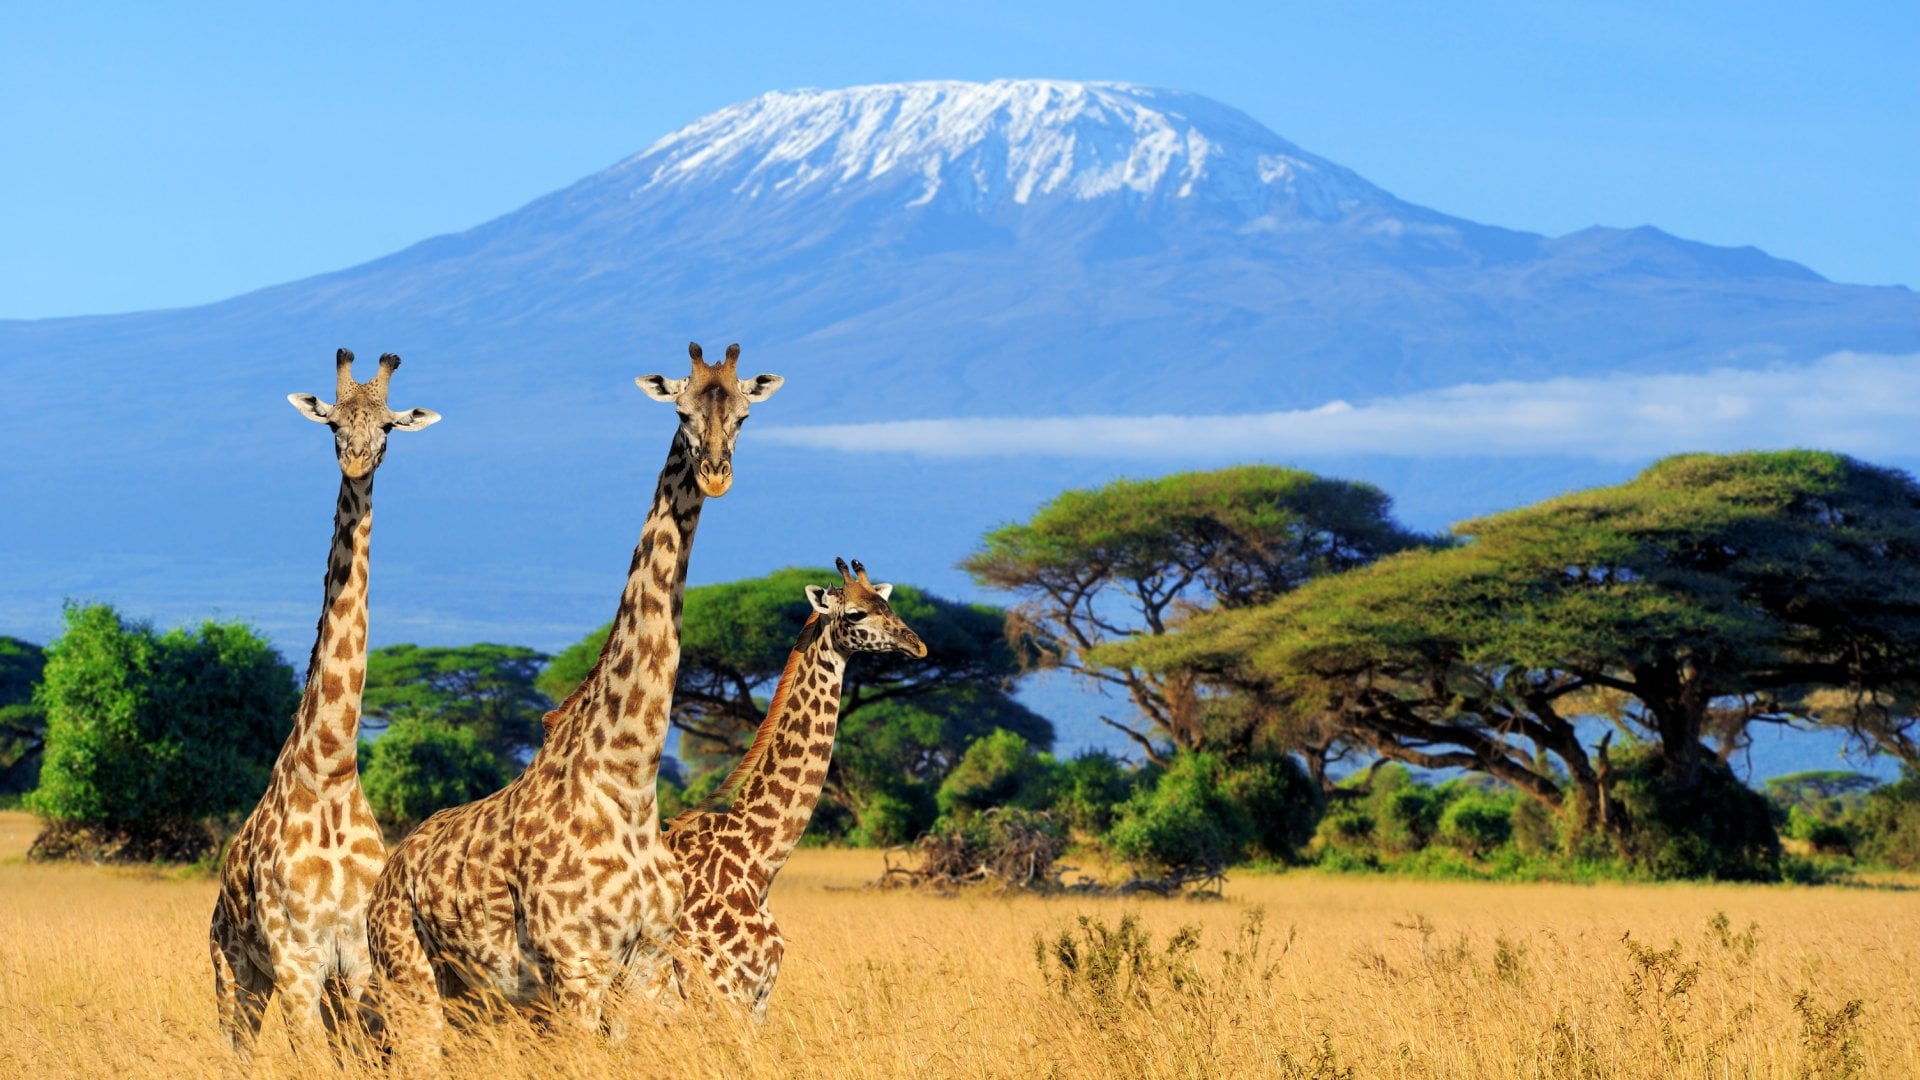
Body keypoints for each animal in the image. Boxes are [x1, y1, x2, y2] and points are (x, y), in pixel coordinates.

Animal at [209, 349, 441, 1058]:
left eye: (388, 426)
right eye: (333, 423)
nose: (358, 461)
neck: (332, 769)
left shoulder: (357, 961)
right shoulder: (295, 960)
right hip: (234, 971)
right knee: (236, 1047)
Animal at [367, 342, 782, 1042]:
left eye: (745, 415)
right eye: (681, 410)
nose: (716, 474)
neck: (629, 781)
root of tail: (386, 877)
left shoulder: (647, 968)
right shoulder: (576, 968)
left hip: (475, 1002)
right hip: (411, 983)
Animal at [654, 558, 925, 1021]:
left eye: (887, 603)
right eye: (856, 614)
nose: (918, 645)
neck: (758, 861)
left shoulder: (758, 999)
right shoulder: (722, 994)